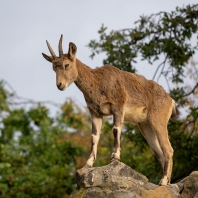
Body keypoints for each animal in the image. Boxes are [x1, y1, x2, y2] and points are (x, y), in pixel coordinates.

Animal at [42, 34, 178, 186]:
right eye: (54, 68)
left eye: (66, 65)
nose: (60, 85)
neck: (97, 81)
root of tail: (170, 101)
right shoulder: (95, 112)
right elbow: (94, 136)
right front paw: (88, 163)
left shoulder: (118, 106)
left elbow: (115, 129)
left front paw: (115, 157)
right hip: (145, 125)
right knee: (160, 153)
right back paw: (165, 182)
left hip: (158, 119)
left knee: (168, 149)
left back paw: (163, 181)